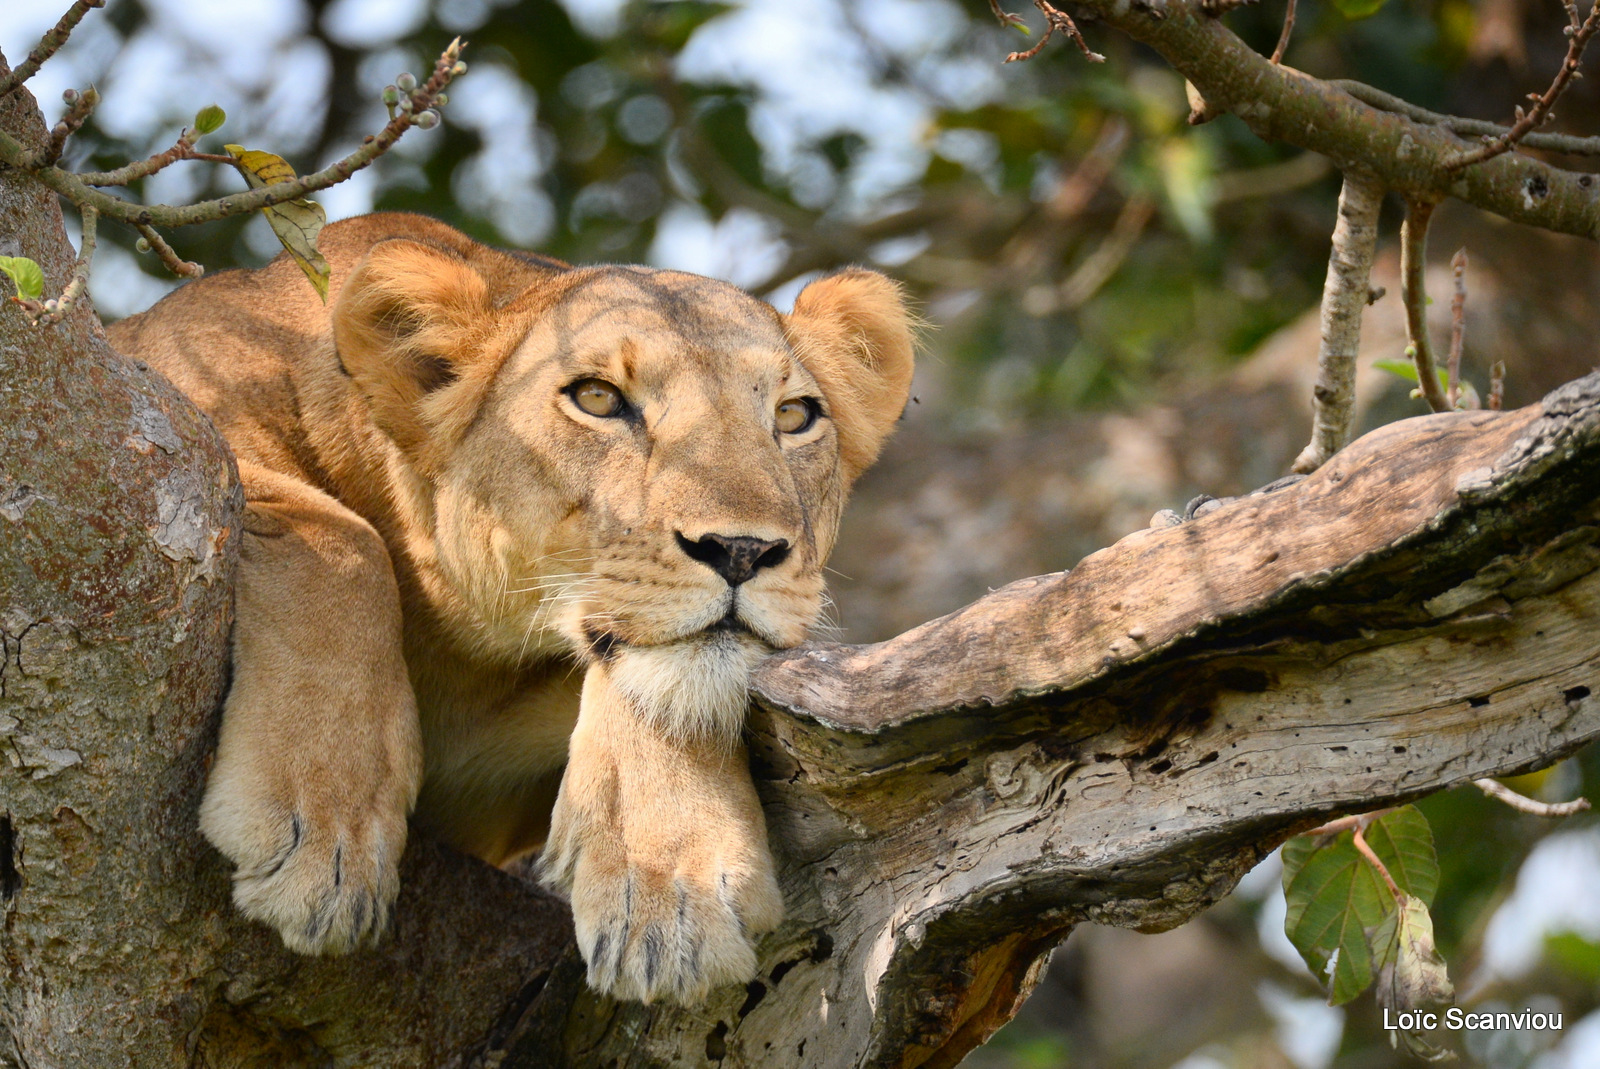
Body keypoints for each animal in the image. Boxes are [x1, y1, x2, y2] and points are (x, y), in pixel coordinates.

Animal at [109, 212, 915, 1004]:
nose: (743, 550)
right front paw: (320, 836)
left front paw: (672, 880)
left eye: (795, 414)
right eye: (597, 398)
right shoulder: (163, 422)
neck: (467, 649)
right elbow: (338, 532)